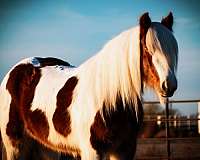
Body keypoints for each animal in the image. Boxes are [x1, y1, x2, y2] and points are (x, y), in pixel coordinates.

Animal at [0, 12, 178, 160]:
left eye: (174, 50)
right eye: (148, 49)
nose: (169, 85)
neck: (109, 99)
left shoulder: (125, 150)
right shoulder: (93, 151)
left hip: (47, 147)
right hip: (14, 144)